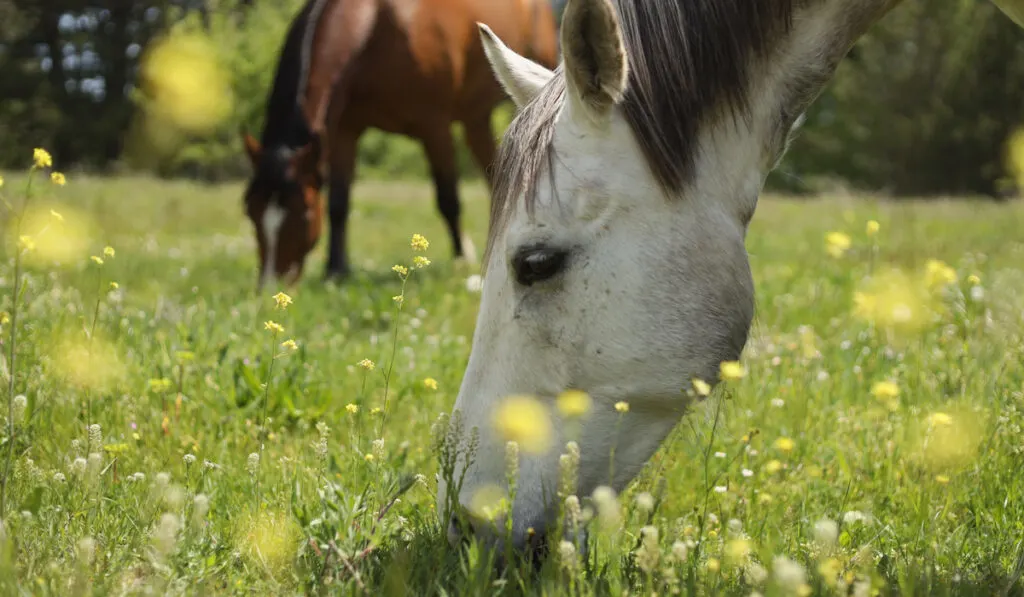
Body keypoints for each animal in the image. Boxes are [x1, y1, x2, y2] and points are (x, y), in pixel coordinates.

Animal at [240, 0, 561, 288]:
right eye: (250, 210)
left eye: (304, 212)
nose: (270, 284)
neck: (376, 27)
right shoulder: (344, 132)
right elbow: (338, 204)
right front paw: (336, 270)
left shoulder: (434, 127)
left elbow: (448, 200)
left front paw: (461, 259)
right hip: (476, 119)